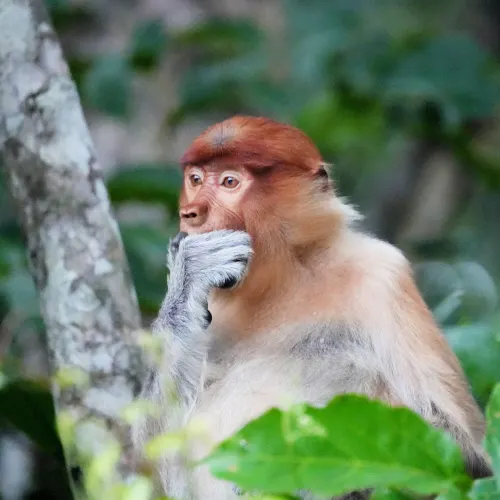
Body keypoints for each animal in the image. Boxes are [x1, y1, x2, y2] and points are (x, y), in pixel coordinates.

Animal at [131, 115, 490, 498]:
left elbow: (466, 454)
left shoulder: (383, 275)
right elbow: (153, 464)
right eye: (195, 179)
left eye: (230, 182)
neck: (282, 278)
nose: (190, 213)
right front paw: (190, 271)